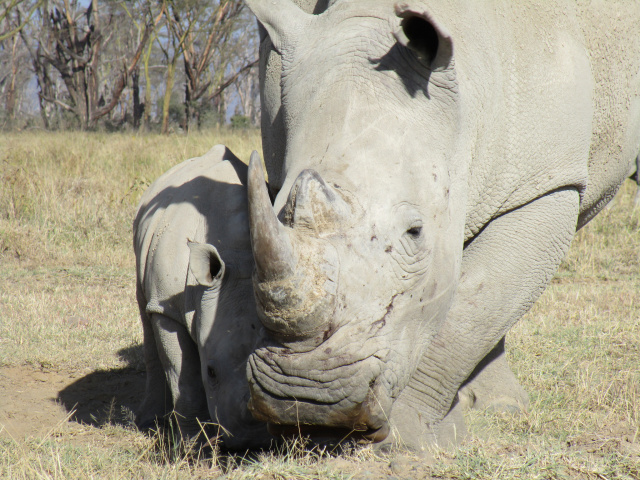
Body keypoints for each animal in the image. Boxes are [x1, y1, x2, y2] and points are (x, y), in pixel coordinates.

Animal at [133, 145, 270, 449]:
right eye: (211, 372)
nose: (251, 440)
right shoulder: (169, 307)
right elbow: (185, 379)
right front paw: (193, 447)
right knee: (146, 311)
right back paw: (149, 422)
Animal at [241, 0, 640, 451]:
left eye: (414, 233)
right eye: (276, 208)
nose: (305, 397)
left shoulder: (547, 183)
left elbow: (474, 303)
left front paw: (407, 437)